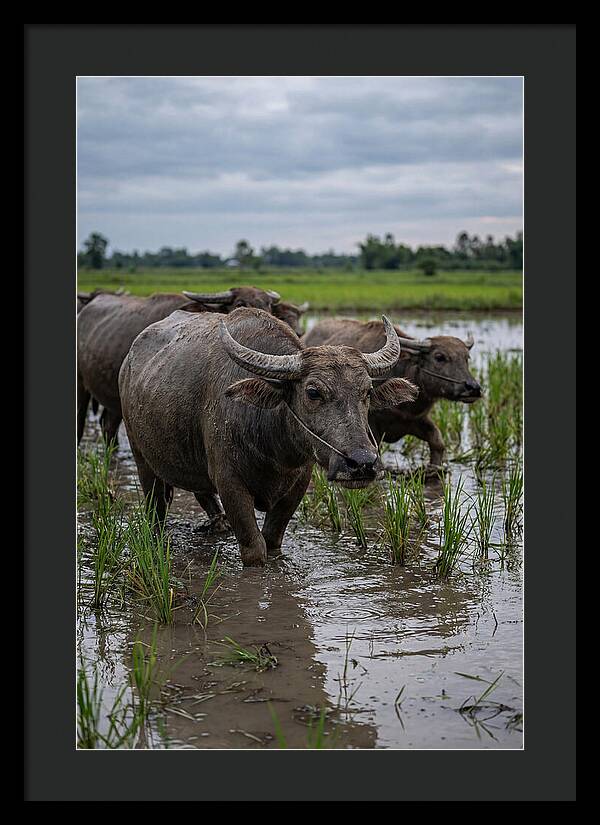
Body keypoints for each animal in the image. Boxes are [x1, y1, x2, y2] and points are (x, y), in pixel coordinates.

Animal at [119, 308, 417, 566]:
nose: (362, 463)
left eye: (367, 391)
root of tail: (128, 362)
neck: (273, 447)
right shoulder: (230, 483)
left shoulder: (298, 484)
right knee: (156, 508)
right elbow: (255, 550)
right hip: (141, 456)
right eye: (313, 392)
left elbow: (272, 541)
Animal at [303, 318, 482, 470]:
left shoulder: (416, 420)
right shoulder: (371, 427)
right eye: (440, 357)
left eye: (466, 358)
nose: (473, 388)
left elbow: (437, 441)